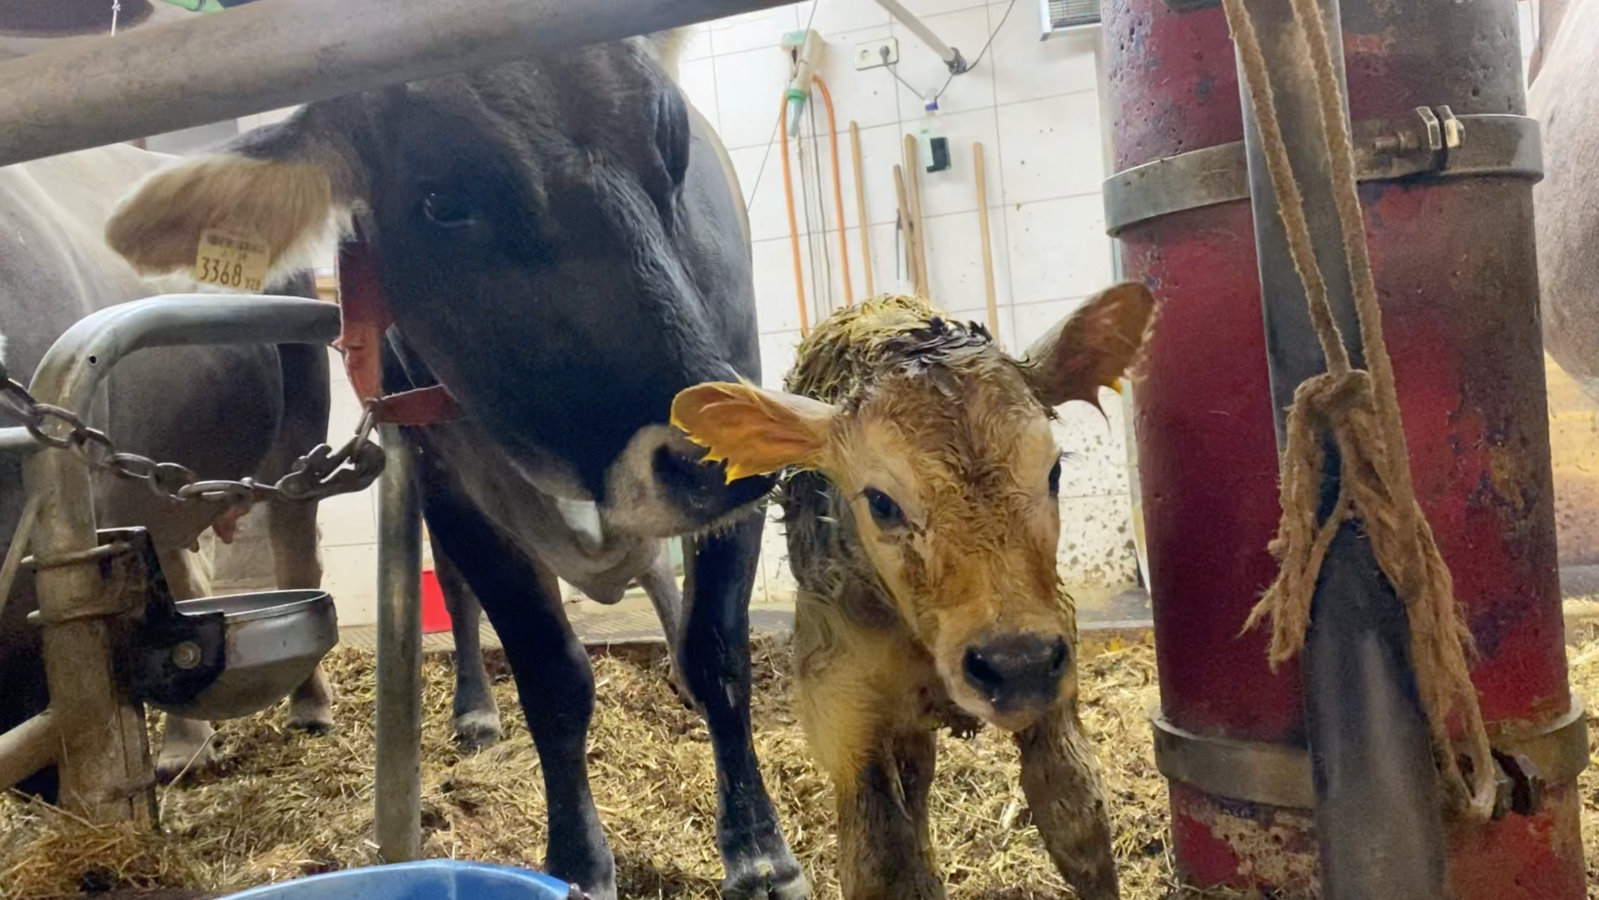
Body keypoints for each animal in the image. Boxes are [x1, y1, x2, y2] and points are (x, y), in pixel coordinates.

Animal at [0, 142, 334, 794]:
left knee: (296, 555)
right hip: (163, 488)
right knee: (183, 577)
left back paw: (311, 708)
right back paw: (185, 747)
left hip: (301, 433)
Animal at [103, 32, 806, 900]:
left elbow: (718, 653)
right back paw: (474, 709)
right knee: (465, 596)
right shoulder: (453, 486)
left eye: (671, 143)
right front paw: (578, 861)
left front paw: (760, 852)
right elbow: (552, 677)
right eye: (440, 200)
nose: (707, 456)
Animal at [670, 285, 1156, 900]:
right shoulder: (843, 715)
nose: (1016, 663)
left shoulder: (1056, 672)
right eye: (881, 502)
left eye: (1054, 473)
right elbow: (881, 863)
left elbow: (1077, 819)